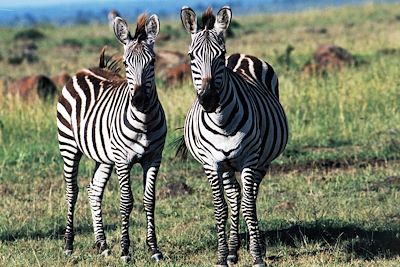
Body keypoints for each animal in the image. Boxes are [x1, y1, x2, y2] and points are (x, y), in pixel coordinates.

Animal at [56, 13, 166, 262]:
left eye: (152, 62)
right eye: (126, 63)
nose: (139, 101)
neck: (144, 121)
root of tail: (86, 70)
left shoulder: (154, 158)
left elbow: (149, 200)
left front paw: (154, 249)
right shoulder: (123, 160)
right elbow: (126, 202)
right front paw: (125, 251)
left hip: (104, 157)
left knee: (94, 191)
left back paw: (103, 244)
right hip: (69, 146)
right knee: (72, 192)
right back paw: (68, 245)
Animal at [180, 5, 288, 267]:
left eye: (220, 55)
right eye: (191, 56)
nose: (209, 100)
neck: (222, 122)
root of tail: (242, 55)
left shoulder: (250, 159)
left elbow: (249, 205)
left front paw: (257, 255)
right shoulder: (211, 163)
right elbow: (221, 208)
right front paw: (222, 256)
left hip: (261, 160)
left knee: (251, 195)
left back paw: (254, 244)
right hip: (227, 164)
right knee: (234, 194)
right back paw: (232, 249)